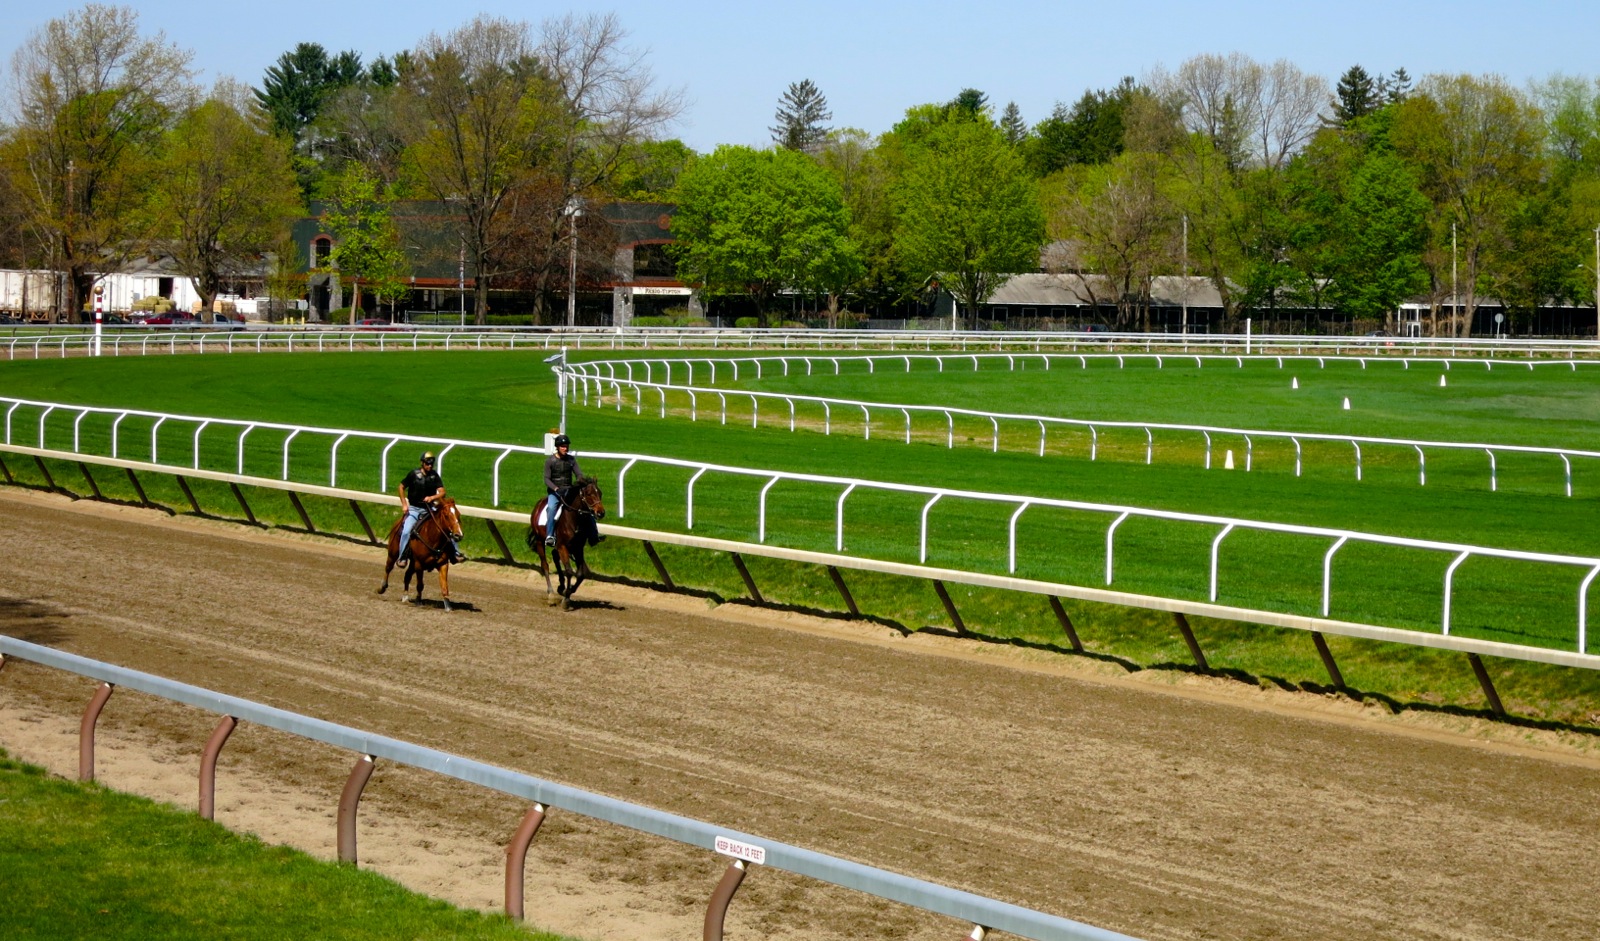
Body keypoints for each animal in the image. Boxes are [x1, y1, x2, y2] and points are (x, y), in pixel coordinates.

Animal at [524, 476, 604, 611]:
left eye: (600, 493)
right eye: (589, 494)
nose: (601, 512)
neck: (575, 520)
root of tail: (538, 504)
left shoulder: (578, 548)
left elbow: (581, 573)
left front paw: (569, 591)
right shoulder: (563, 546)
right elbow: (569, 571)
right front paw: (566, 599)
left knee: (555, 555)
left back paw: (561, 586)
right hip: (540, 541)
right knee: (545, 565)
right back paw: (551, 594)